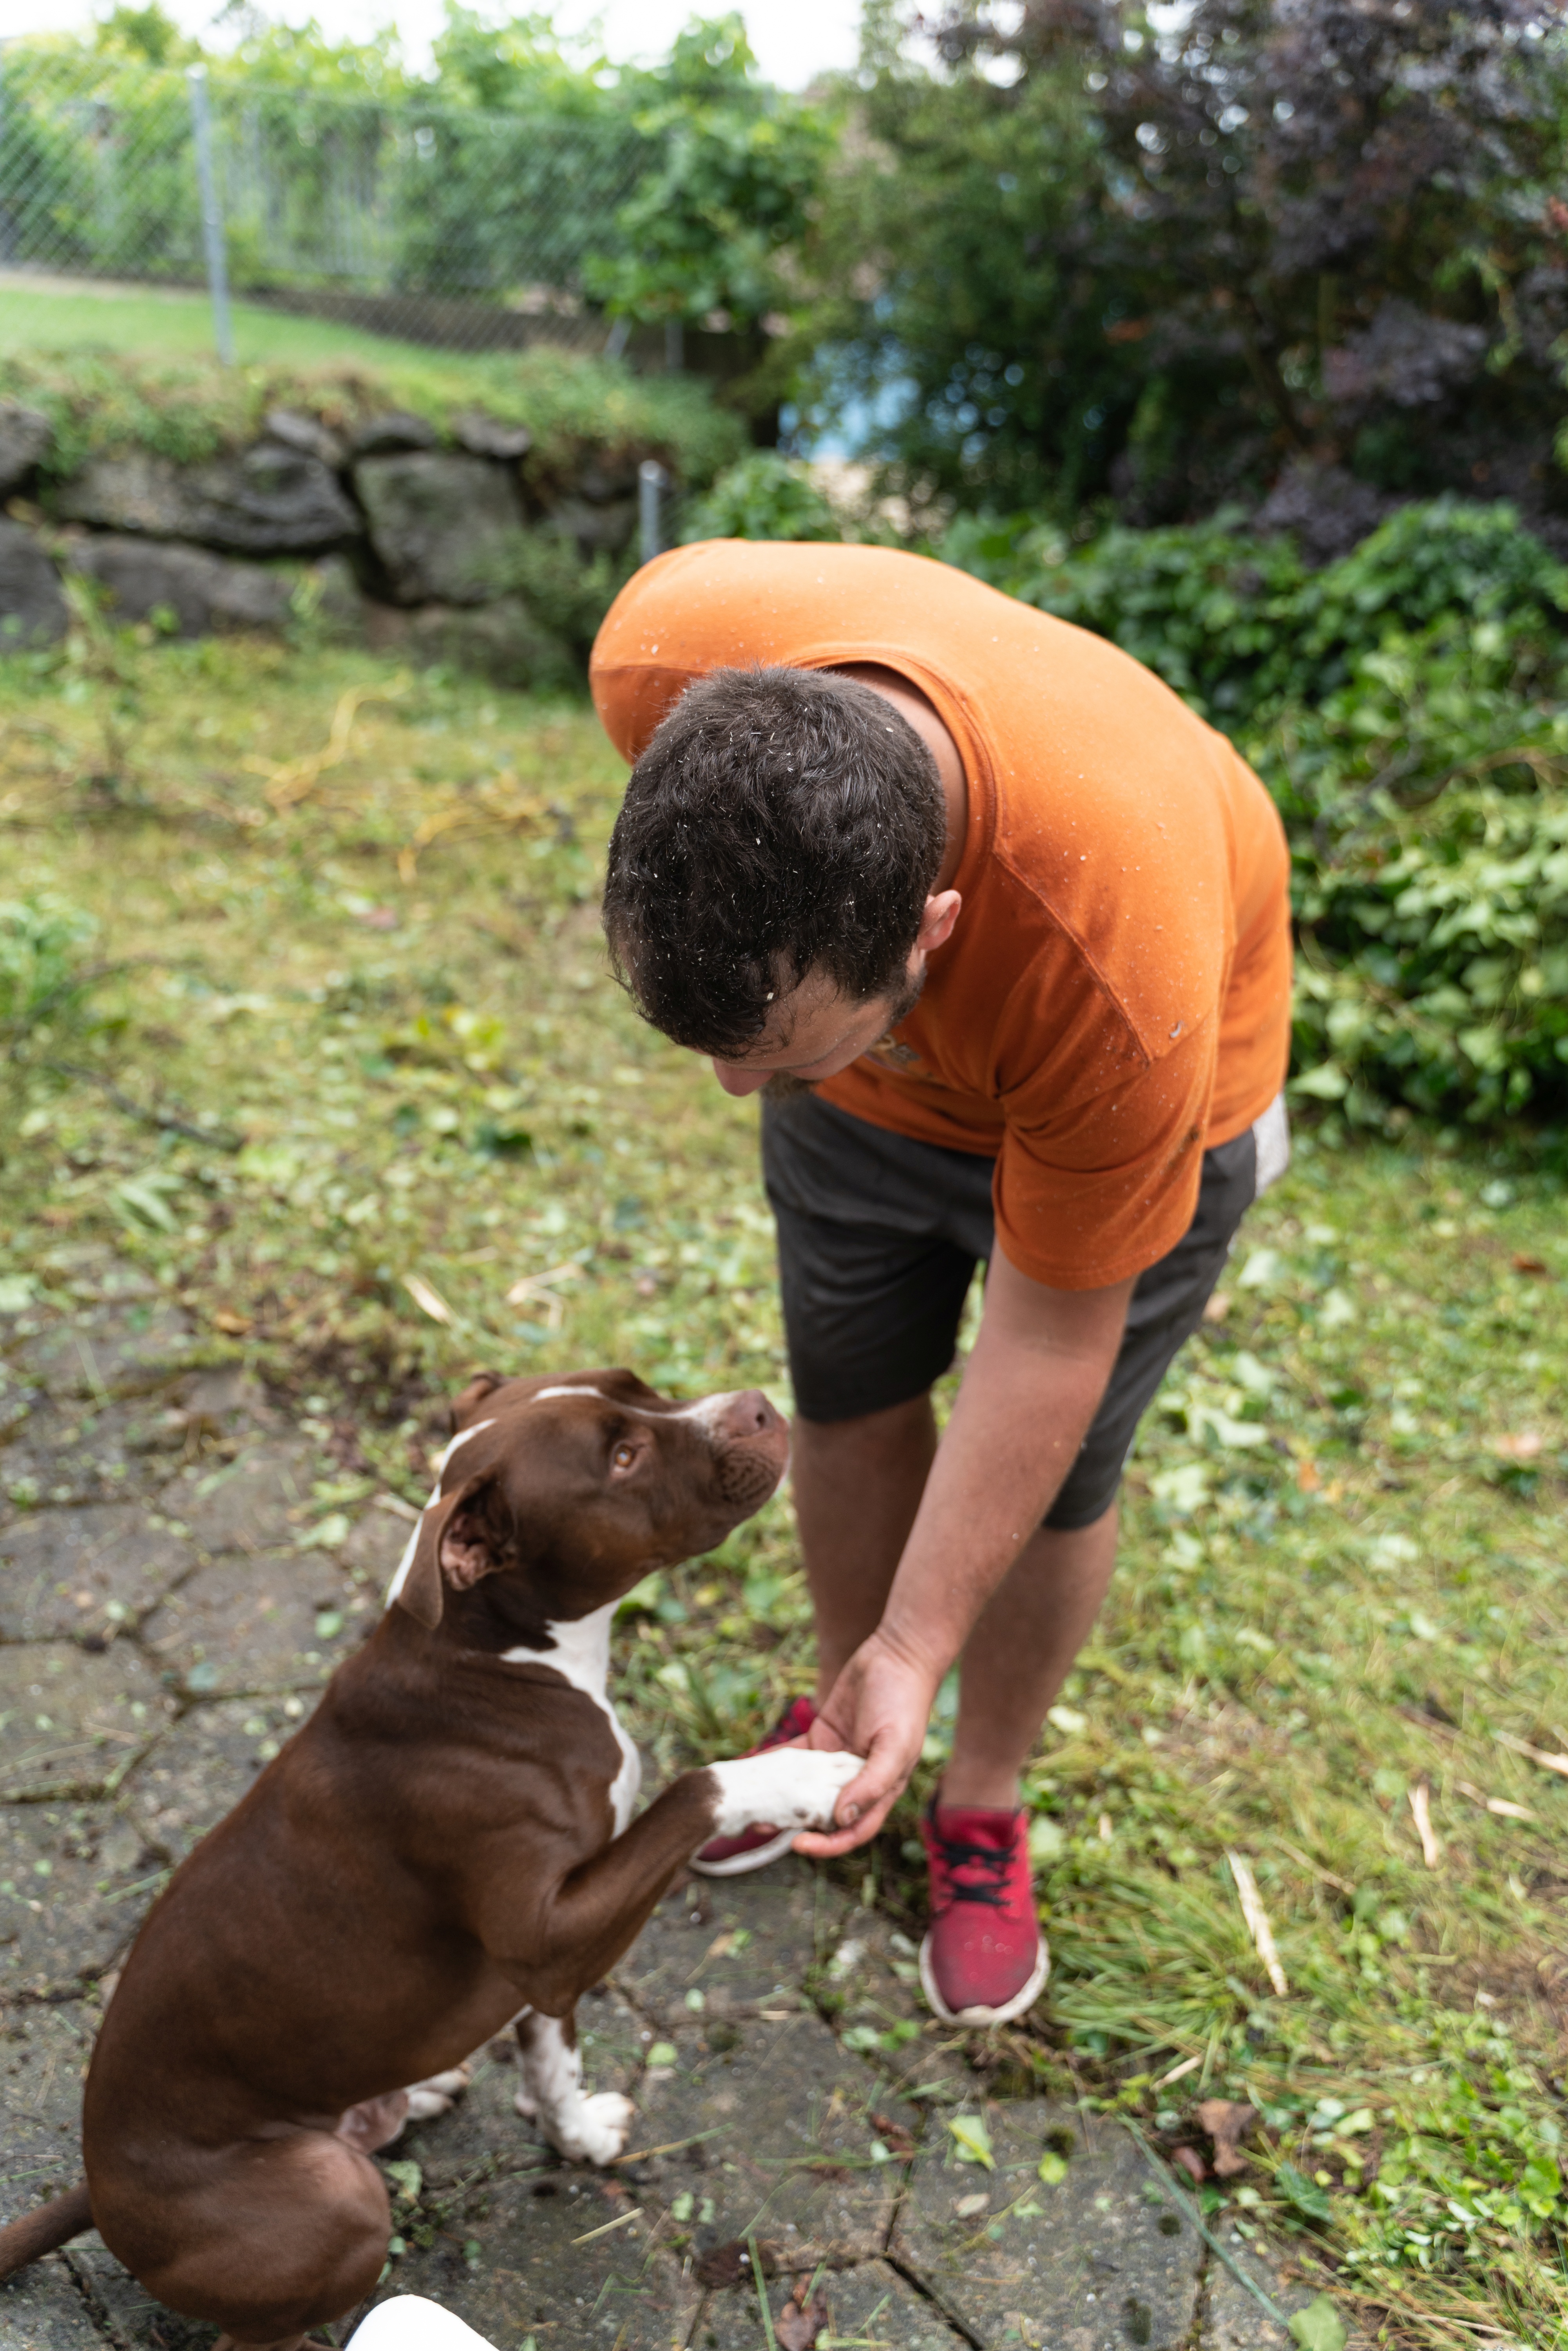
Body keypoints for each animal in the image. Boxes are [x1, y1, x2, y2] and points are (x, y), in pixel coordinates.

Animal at [0, 1373, 860, 2342]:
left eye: (635, 1386)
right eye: (622, 1457)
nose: (755, 1404)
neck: (489, 1655)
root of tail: (101, 2195)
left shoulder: (544, 1968)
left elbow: (553, 2060)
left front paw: (576, 2135)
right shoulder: (547, 1940)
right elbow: (697, 1787)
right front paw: (798, 1775)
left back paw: (412, 2096)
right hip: (334, 2198)